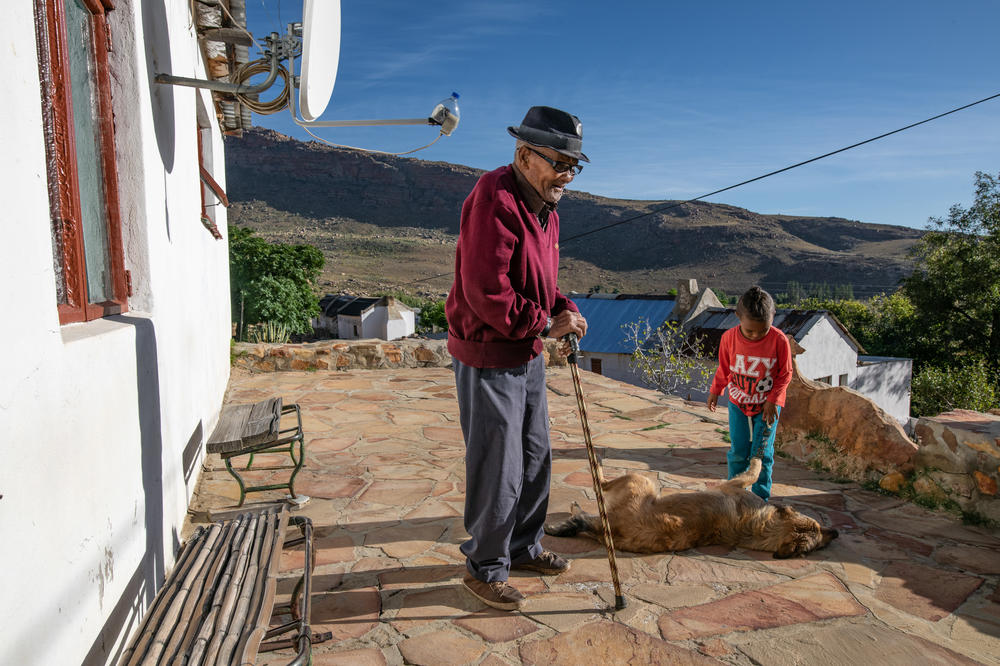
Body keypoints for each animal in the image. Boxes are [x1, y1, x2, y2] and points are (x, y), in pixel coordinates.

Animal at [548, 456, 836, 556]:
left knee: (600, 484)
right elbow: (752, 473)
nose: (836, 533)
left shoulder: (733, 484)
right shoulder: (734, 486)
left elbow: (751, 472)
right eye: (817, 527)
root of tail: (612, 530)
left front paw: (755, 459)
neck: (759, 529)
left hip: (641, 481)